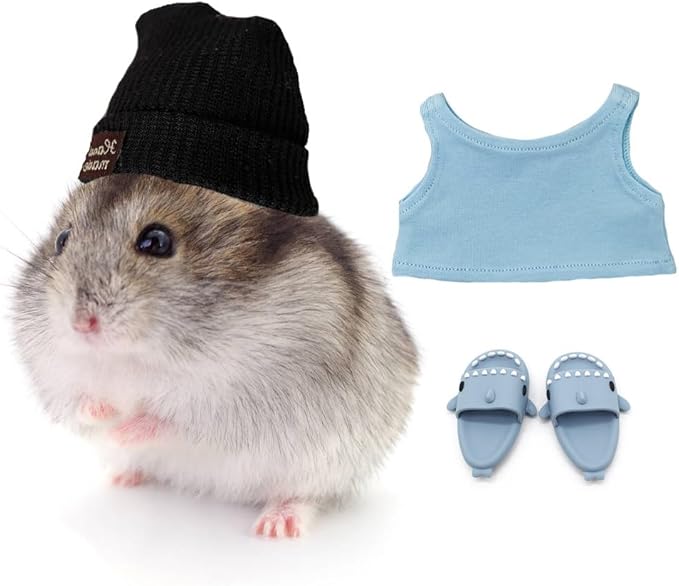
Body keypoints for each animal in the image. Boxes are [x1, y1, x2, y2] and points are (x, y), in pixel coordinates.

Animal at [11, 174, 418, 538]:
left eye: (156, 241)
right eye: (62, 240)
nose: (82, 324)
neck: (135, 356)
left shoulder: (241, 396)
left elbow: (171, 418)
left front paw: (122, 430)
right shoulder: (55, 377)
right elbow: (80, 404)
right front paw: (106, 415)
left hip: (326, 465)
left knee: (305, 495)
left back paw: (276, 526)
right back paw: (123, 477)